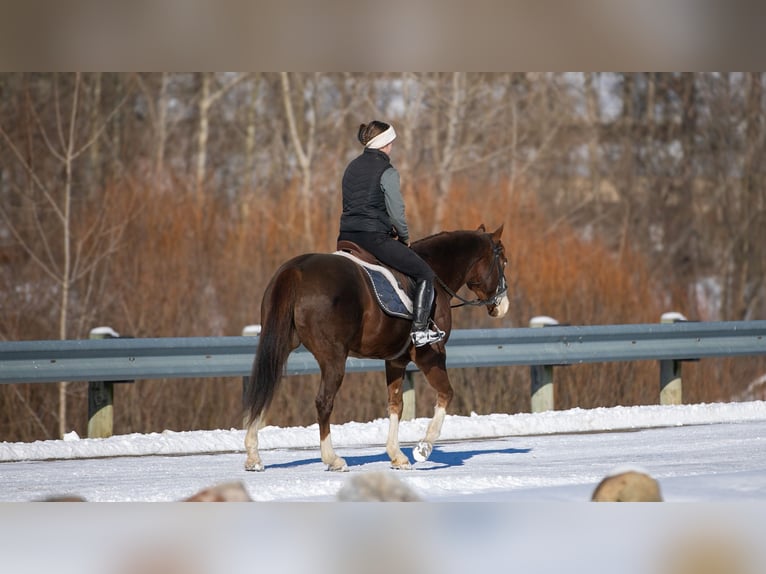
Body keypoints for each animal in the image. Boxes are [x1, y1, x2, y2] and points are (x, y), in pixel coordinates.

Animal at [246, 225, 510, 472]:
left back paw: (253, 456)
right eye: (504, 261)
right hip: (333, 358)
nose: (502, 306)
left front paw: (397, 455)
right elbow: (446, 393)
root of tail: (296, 270)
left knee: (263, 389)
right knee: (323, 401)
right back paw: (333, 459)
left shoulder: (396, 360)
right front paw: (423, 448)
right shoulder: (430, 355)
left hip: (280, 344)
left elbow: (396, 404)